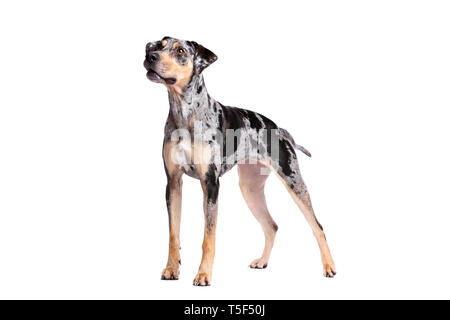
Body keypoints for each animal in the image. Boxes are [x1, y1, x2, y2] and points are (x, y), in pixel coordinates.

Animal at [142, 36, 336, 286]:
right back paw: (262, 261)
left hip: (293, 181)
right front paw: (171, 269)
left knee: (317, 226)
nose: (150, 56)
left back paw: (329, 266)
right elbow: (173, 235)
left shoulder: (210, 184)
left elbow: (208, 237)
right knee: (271, 226)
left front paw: (203, 275)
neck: (185, 115)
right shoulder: (173, 183)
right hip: (250, 189)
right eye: (159, 45)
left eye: (181, 51)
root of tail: (279, 129)